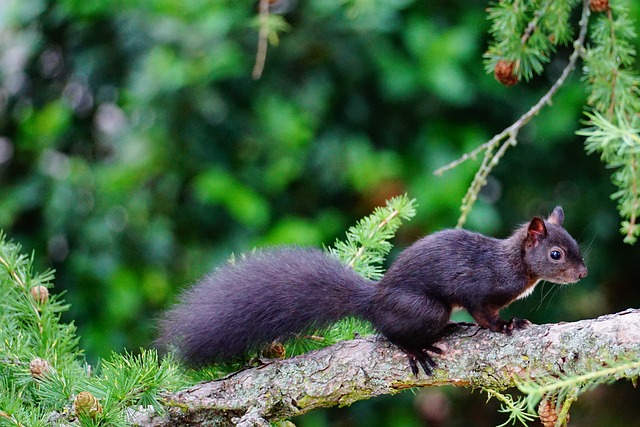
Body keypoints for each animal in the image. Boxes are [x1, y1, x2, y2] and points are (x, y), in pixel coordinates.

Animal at [158, 206, 588, 374]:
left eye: (576, 246)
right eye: (556, 254)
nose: (583, 273)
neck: (513, 263)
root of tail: (373, 301)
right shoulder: (478, 288)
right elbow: (484, 314)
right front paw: (506, 325)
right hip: (423, 308)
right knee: (390, 333)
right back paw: (418, 348)